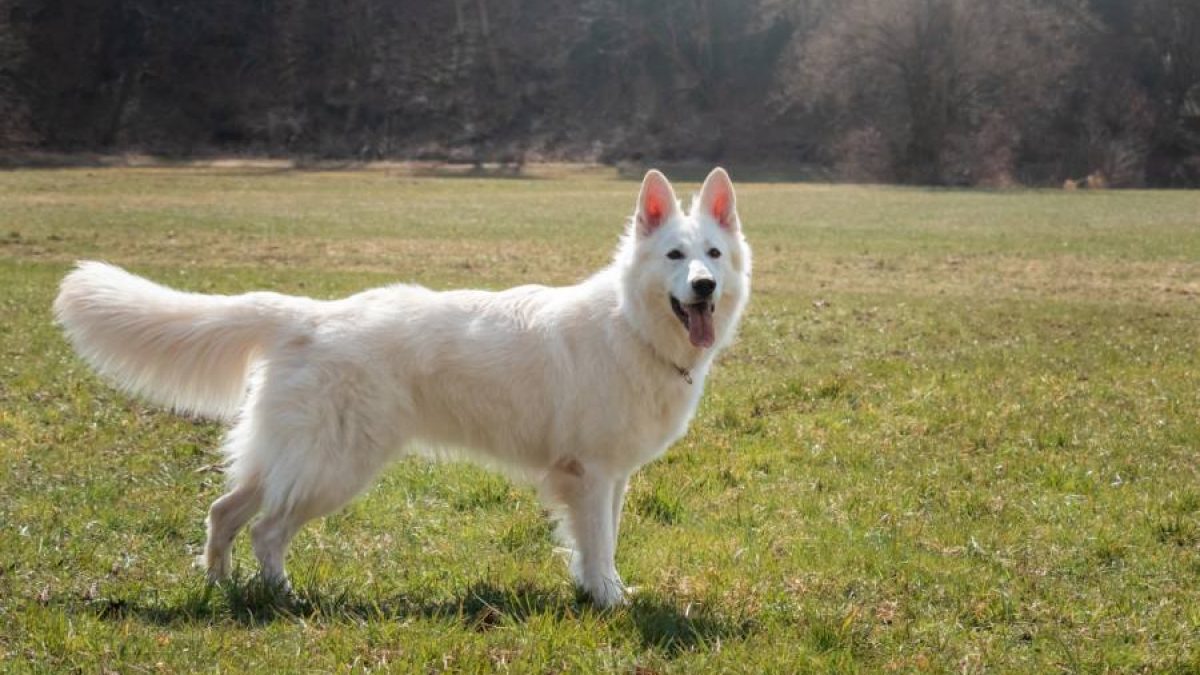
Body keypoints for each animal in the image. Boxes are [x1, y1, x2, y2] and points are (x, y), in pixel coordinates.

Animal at [53, 168, 752, 608]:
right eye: (673, 256)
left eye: (713, 255)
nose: (704, 287)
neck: (631, 324)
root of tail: (308, 316)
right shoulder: (591, 474)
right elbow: (599, 544)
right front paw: (608, 600)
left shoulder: (610, 478)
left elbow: (598, 542)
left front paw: (598, 590)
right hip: (336, 467)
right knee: (266, 531)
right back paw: (282, 597)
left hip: (289, 458)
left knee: (224, 512)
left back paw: (220, 587)